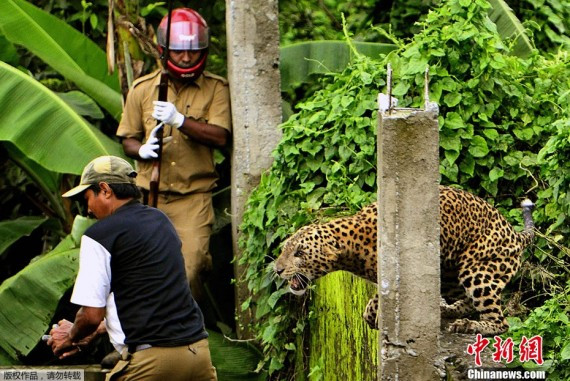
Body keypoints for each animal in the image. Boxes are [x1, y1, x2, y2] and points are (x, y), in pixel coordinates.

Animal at [274, 186, 532, 334]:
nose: (277, 269)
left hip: (476, 270)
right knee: (466, 300)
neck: (351, 246)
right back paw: (448, 310)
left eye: (299, 253)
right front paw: (372, 313)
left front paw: (377, 314)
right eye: (285, 249)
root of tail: (516, 233)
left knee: (500, 322)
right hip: (450, 273)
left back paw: (470, 325)